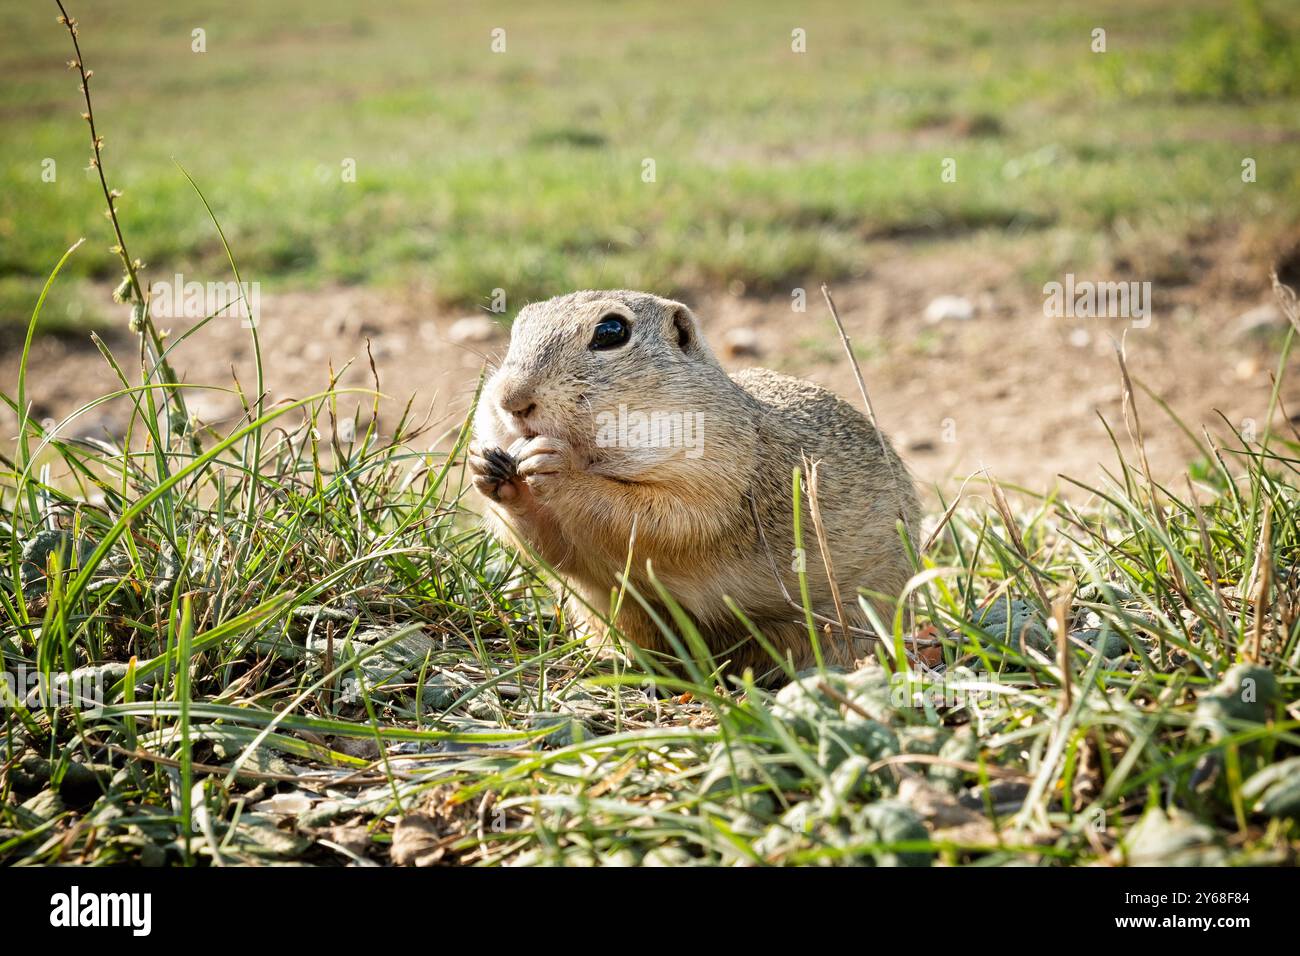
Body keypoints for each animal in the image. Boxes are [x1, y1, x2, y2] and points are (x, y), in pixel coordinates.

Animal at [468, 290, 920, 681]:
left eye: (611, 331)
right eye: (518, 327)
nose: (510, 399)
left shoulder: (715, 476)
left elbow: (655, 521)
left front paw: (558, 466)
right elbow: (549, 546)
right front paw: (487, 468)